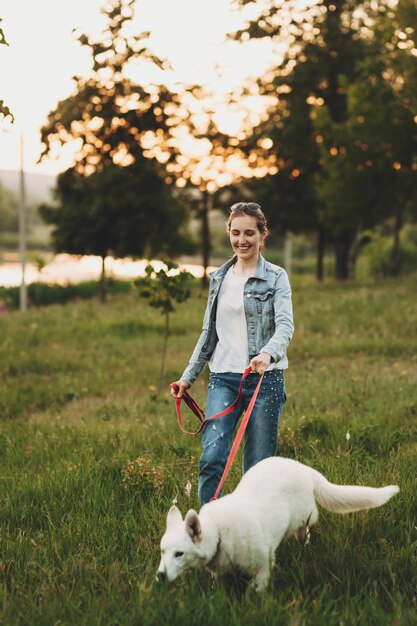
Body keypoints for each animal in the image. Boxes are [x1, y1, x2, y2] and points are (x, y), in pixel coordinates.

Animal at [158, 454, 398, 588]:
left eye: (179, 554)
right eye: (163, 552)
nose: (159, 576)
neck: (218, 532)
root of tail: (302, 467)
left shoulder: (263, 565)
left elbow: (256, 590)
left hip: (303, 516)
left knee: (305, 530)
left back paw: (304, 544)